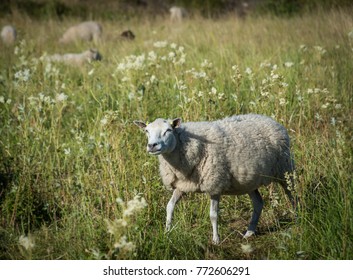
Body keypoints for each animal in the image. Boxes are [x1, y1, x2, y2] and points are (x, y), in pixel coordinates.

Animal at [134, 115, 294, 244]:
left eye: (168, 130)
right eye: (146, 131)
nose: (152, 146)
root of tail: (271, 120)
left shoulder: (215, 185)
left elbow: (213, 215)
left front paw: (216, 240)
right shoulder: (182, 185)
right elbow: (170, 207)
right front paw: (167, 232)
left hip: (285, 169)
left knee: (292, 195)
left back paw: (297, 217)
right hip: (249, 181)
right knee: (258, 203)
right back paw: (249, 232)